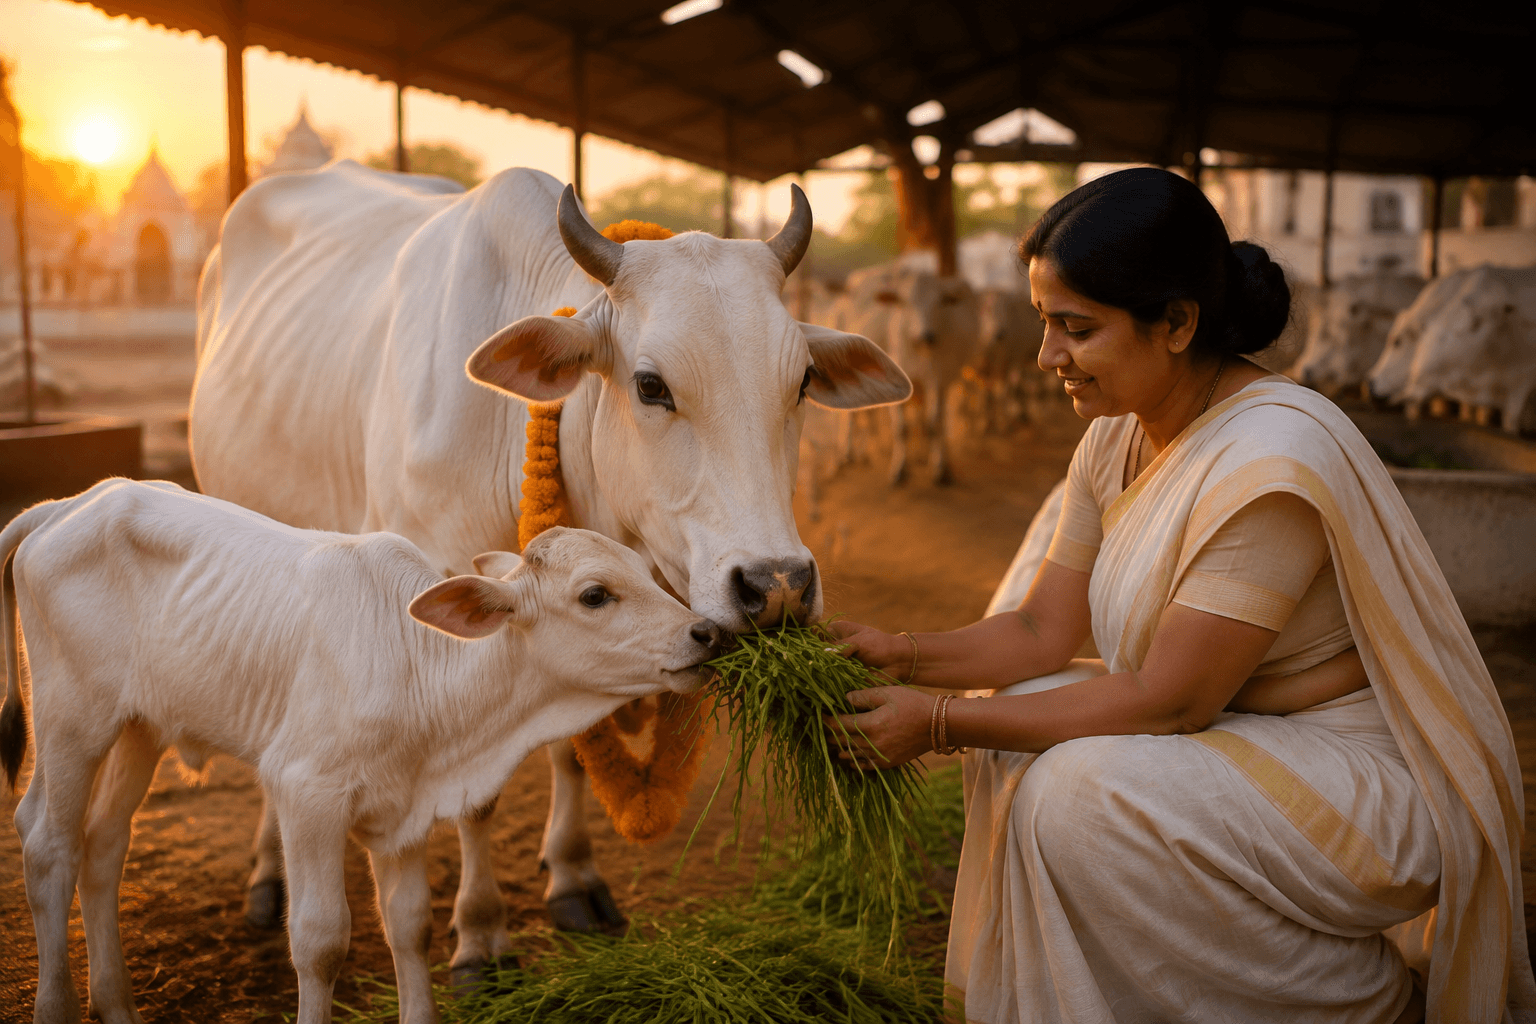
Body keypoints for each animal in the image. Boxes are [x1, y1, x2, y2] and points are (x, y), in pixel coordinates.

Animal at [1, 479, 723, 1024]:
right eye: (595, 595)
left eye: (647, 573)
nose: (706, 633)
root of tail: (70, 504)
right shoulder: (305, 793)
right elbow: (320, 940)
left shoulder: (404, 810)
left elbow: (410, 925)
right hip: (72, 720)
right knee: (48, 844)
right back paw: (57, 1006)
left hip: (140, 727)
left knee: (104, 843)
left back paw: (118, 1006)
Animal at [189, 160, 911, 980]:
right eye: (651, 385)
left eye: (802, 382)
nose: (778, 586)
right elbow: (475, 796)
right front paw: (478, 934)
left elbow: (573, 746)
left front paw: (571, 877)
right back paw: (268, 876)